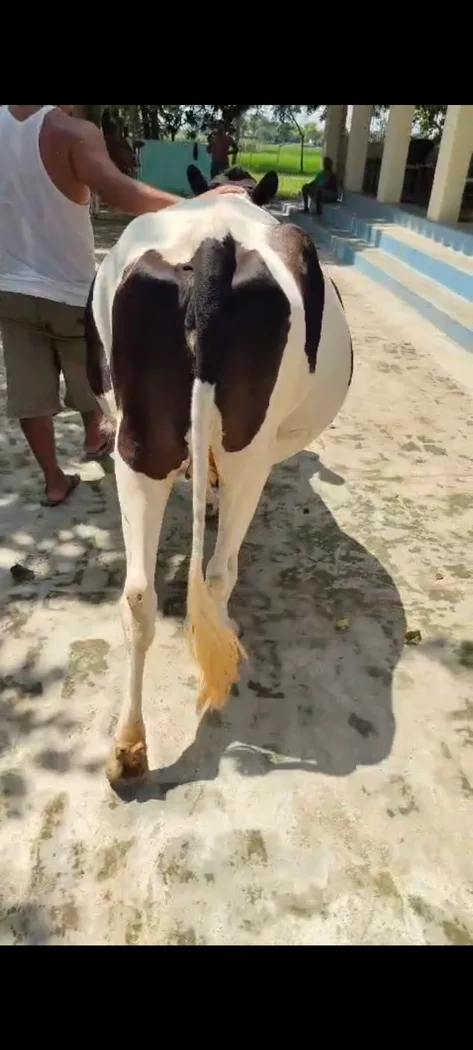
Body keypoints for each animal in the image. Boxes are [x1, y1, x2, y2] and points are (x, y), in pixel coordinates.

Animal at [84, 166, 354, 789]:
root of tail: (215, 243)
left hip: (139, 446)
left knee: (139, 595)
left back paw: (128, 748)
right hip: (248, 453)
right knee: (219, 572)